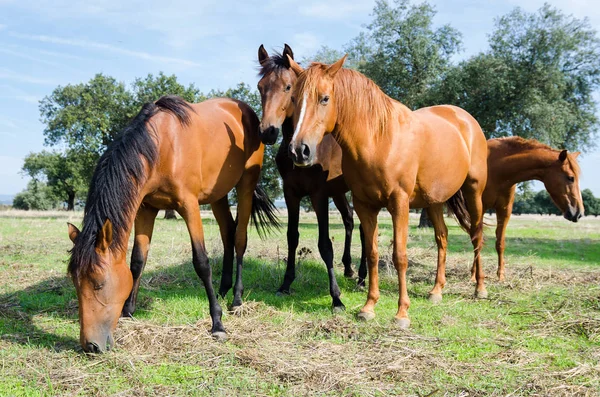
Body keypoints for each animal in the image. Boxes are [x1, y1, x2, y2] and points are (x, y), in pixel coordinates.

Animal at [67, 96, 278, 352]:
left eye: (98, 284)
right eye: (75, 283)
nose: (90, 345)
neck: (161, 147)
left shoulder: (190, 206)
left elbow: (202, 262)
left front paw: (217, 323)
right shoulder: (145, 209)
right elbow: (137, 261)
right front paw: (128, 311)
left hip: (245, 185)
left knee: (239, 239)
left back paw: (236, 299)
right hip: (218, 196)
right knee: (227, 233)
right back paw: (222, 289)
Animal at [288, 56, 490, 328]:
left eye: (325, 98)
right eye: (293, 99)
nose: (299, 151)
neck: (379, 140)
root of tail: (465, 119)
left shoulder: (399, 204)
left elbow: (399, 255)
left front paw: (402, 313)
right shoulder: (365, 205)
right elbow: (372, 253)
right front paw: (368, 307)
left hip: (473, 190)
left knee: (476, 235)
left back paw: (480, 288)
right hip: (434, 202)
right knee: (442, 238)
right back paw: (436, 290)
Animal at [480, 138, 584, 280]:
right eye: (570, 177)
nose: (578, 213)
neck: (496, 167)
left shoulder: (504, 210)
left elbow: (500, 243)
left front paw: (501, 276)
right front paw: (475, 275)